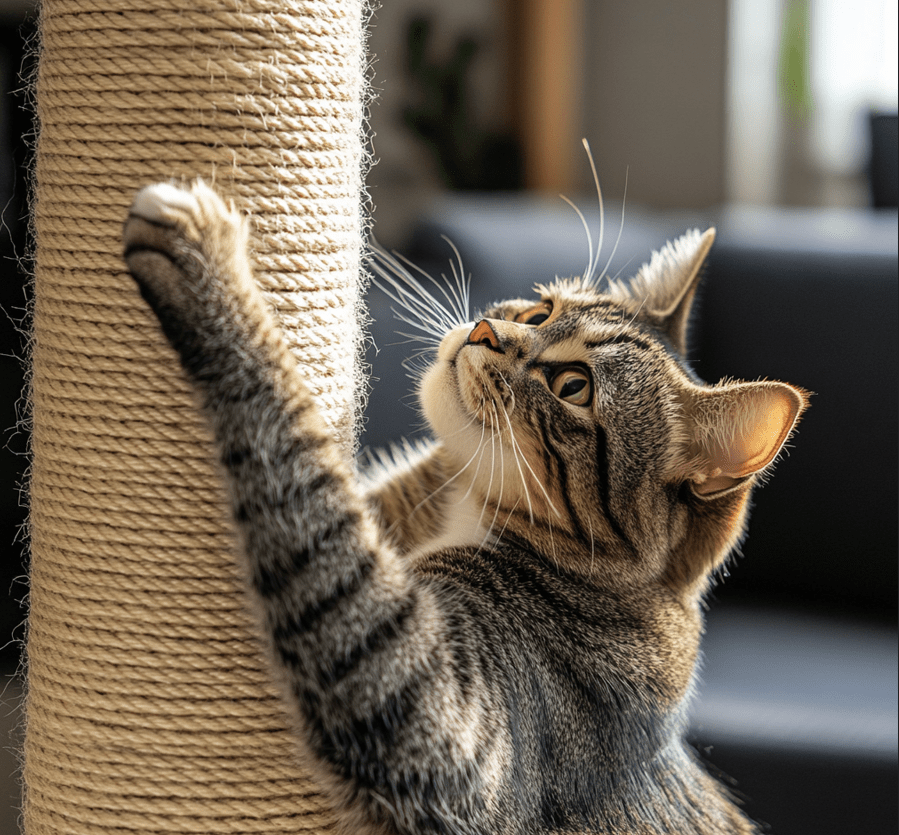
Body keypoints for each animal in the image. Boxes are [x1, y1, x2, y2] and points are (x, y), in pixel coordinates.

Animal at [121, 180, 808, 832]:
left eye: (574, 386)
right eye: (539, 308)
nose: (484, 330)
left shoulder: (433, 717)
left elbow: (301, 465)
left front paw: (208, 262)